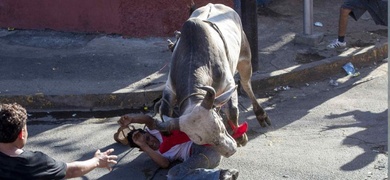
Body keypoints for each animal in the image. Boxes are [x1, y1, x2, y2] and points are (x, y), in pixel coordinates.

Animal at [154, 3, 270, 158]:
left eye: (219, 127)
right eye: (200, 140)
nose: (230, 151)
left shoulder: (229, 84)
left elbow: (232, 111)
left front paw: (241, 137)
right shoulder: (170, 88)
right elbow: (166, 109)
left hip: (245, 58)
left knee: (246, 85)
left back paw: (261, 115)